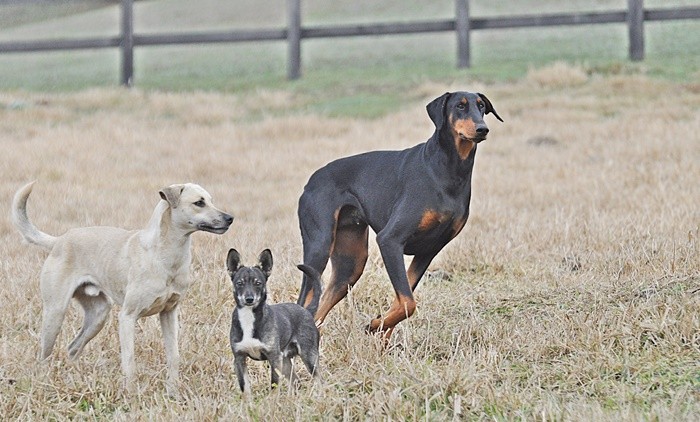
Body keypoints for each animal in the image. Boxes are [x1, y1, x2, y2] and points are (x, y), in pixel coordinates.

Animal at [10, 181, 234, 396]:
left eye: (211, 200)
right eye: (199, 203)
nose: (230, 218)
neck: (164, 254)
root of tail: (60, 240)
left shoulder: (169, 314)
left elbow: (174, 357)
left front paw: (173, 393)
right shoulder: (127, 317)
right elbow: (129, 360)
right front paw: (131, 395)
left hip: (98, 316)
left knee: (73, 348)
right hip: (55, 313)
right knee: (43, 356)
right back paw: (43, 383)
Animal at [227, 247, 322, 392]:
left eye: (258, 283)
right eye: (239, 283)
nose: (249, 299)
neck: (249, 318)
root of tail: (306, 310)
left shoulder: (273, 358)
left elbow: (274, 385)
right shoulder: (239, 359)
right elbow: (245, 388)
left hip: (309, 356)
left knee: (319, 380)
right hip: (286, 361)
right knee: (296, 381)